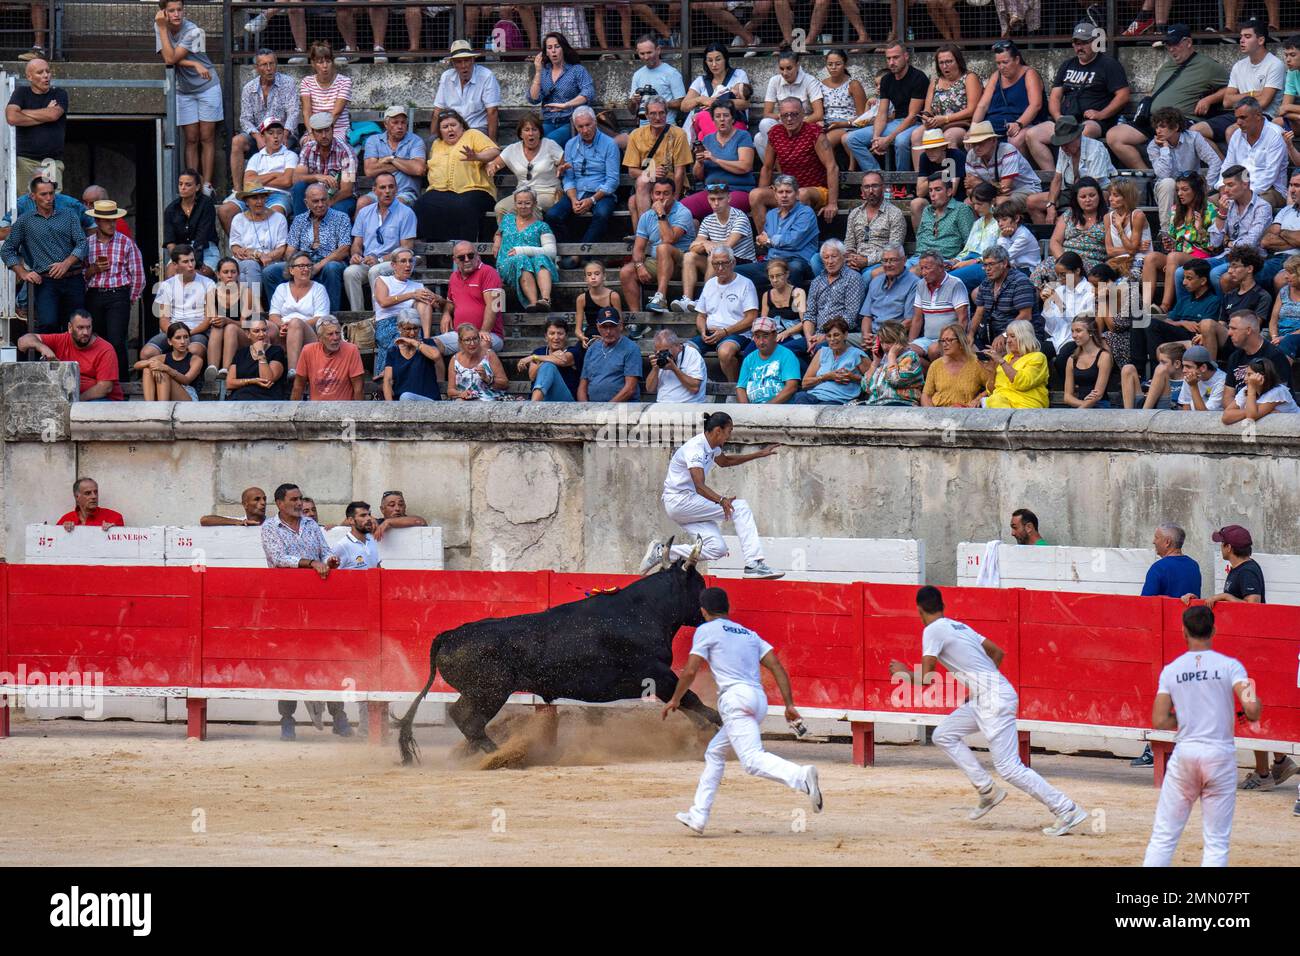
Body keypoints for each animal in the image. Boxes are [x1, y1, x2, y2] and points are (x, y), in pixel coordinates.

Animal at [395, 541, 722, 764]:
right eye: (700, 585)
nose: (718, 610)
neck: (646, 610)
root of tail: (450, 634)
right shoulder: (658, 674)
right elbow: (691, 699)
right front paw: (717, 727)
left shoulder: (660, 680)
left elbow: (684, 703)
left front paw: (705, 730)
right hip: (489, 691)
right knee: (467, 719)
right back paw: (500, 755)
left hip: (482, 692)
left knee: (463, 717)